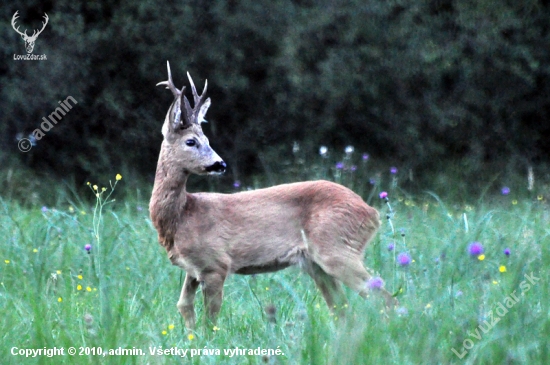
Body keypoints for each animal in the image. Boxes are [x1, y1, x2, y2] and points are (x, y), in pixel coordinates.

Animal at [151, 61, 398, 328]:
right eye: (191, 141)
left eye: (206, 139)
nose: (220, 164)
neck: (182, 216)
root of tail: (372, 213)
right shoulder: (193, 269)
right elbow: (185, 307)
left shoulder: (216, 263)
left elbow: (211, 319)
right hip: (317, 264)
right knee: (343, 310)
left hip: (336, 247)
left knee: (384, 299)